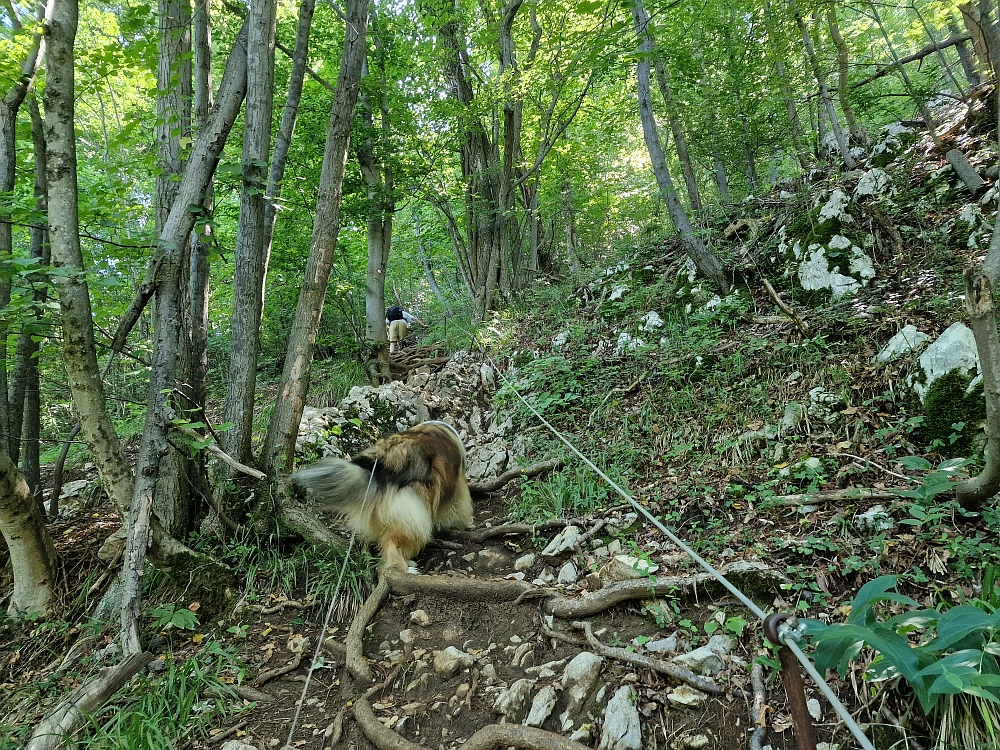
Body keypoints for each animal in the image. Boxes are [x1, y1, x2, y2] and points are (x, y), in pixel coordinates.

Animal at [292, 420, 474, 572]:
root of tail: (384, 458)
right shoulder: (458, 486)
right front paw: (467, 524)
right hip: (412, 510)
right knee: (393, 542)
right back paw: (404, 567)